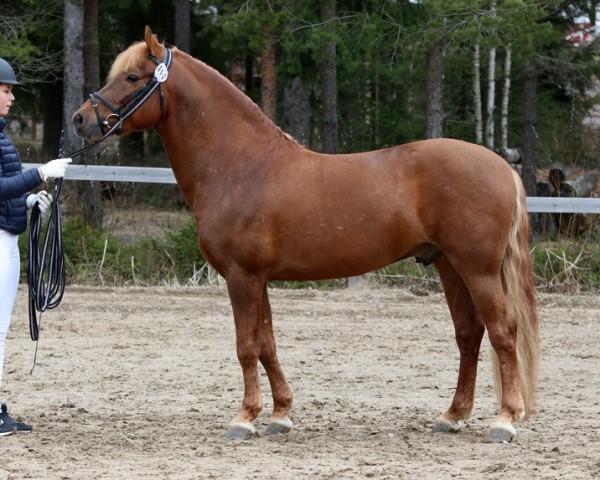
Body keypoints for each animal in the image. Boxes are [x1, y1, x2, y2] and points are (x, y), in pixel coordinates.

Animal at [72, 28, 540, 444]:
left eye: (133, 77)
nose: (81, 119)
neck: (241, 166)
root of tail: (503, 167)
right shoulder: (258, 279)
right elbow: (267, 345)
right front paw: (280, 414)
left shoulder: (242, 277)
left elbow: (246, 346)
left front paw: (244, 419)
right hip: (448, 265)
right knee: (469, 334)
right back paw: (453, 415)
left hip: (477, 269)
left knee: (503, 331)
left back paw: (504, 421)